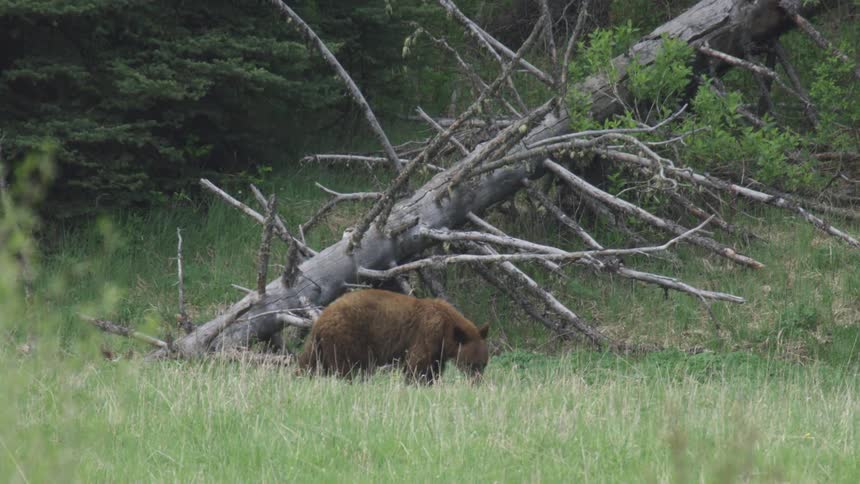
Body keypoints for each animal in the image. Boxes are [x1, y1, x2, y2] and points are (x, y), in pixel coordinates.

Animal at [298, 289, 489, 383]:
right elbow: (417, 365)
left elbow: (433, 369)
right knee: (349, 368)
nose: (478, 381)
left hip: (319, 347)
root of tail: (321, 320)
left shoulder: (437, 351)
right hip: (347, 338)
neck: (446, 328)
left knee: (309, 364)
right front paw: (415, 383)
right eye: (471, 364)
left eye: (484, 364)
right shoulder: (427, 335)